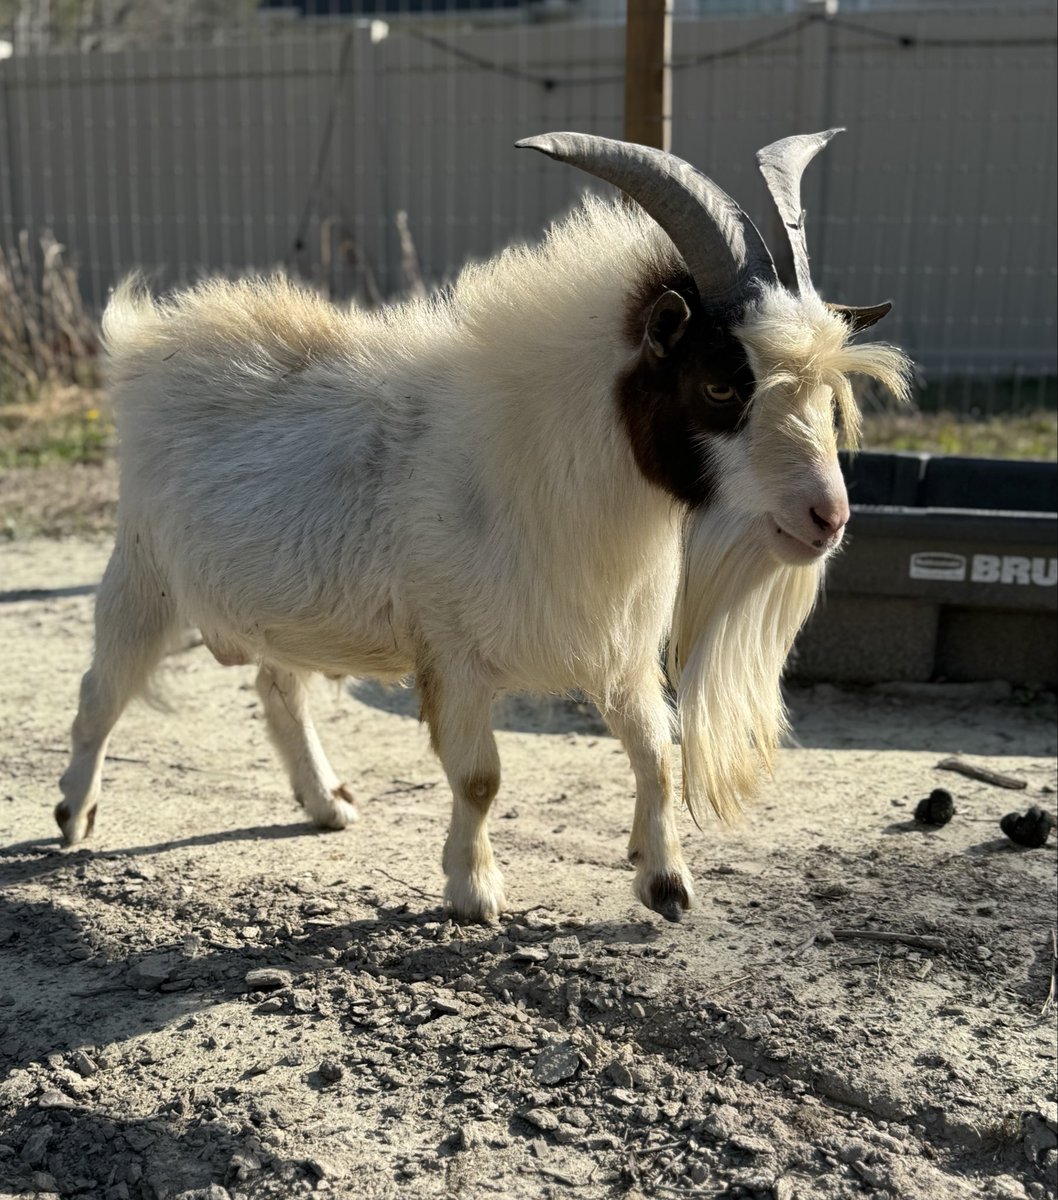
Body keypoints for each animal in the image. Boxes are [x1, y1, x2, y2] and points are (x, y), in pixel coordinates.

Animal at [57, 130, 910, 922]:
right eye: (720, 385)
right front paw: (474, 893)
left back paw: (326, 802)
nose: (826, 517)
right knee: (103, 688)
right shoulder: (454, 651)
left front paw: (665, 881)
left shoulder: (619, 647)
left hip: (275, 601)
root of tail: (146, 340)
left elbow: (655, 754)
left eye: (826, 391)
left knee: (279, 686)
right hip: (143, 572)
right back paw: (72, 815)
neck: (540, 451)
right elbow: (480, 777)